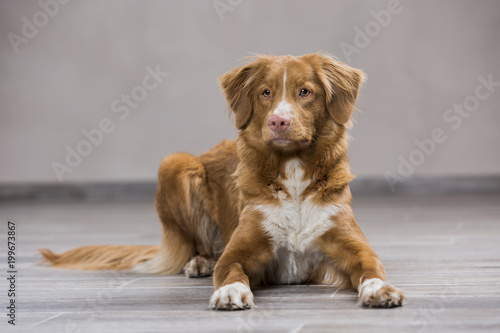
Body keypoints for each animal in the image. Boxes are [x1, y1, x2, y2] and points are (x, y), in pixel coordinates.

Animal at [41, 52, 404, 308]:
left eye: (305, 92)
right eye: (265, 93)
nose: (278, 122)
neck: (293, 174)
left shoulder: (352, 246)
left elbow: (371, 266)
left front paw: (380, 289)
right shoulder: (239, 251)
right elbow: (229, 269)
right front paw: (229, 293)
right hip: (175, 163)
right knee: (202, 248)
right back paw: (198, 263)